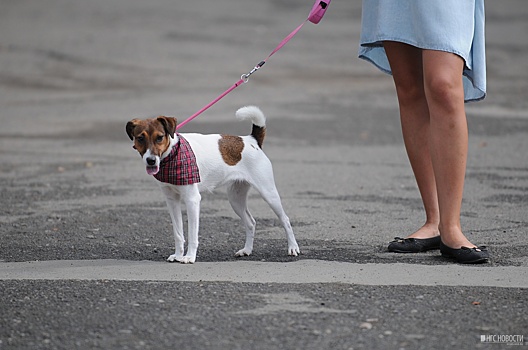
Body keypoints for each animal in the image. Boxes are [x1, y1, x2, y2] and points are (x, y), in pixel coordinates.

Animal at [126, 106, 300, 262]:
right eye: (140, 138)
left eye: (160, 137)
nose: (151, 160)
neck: (172, 154)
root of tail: (251, 140)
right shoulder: (172, 201)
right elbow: (178, 233)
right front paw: (178, 255)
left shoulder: (192, 200)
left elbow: (192, 234)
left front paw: (189, 257)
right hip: (235, 199)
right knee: (251, 223)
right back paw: (247, 250)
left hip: (268, 193)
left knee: (285, 219)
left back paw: (293, 247)